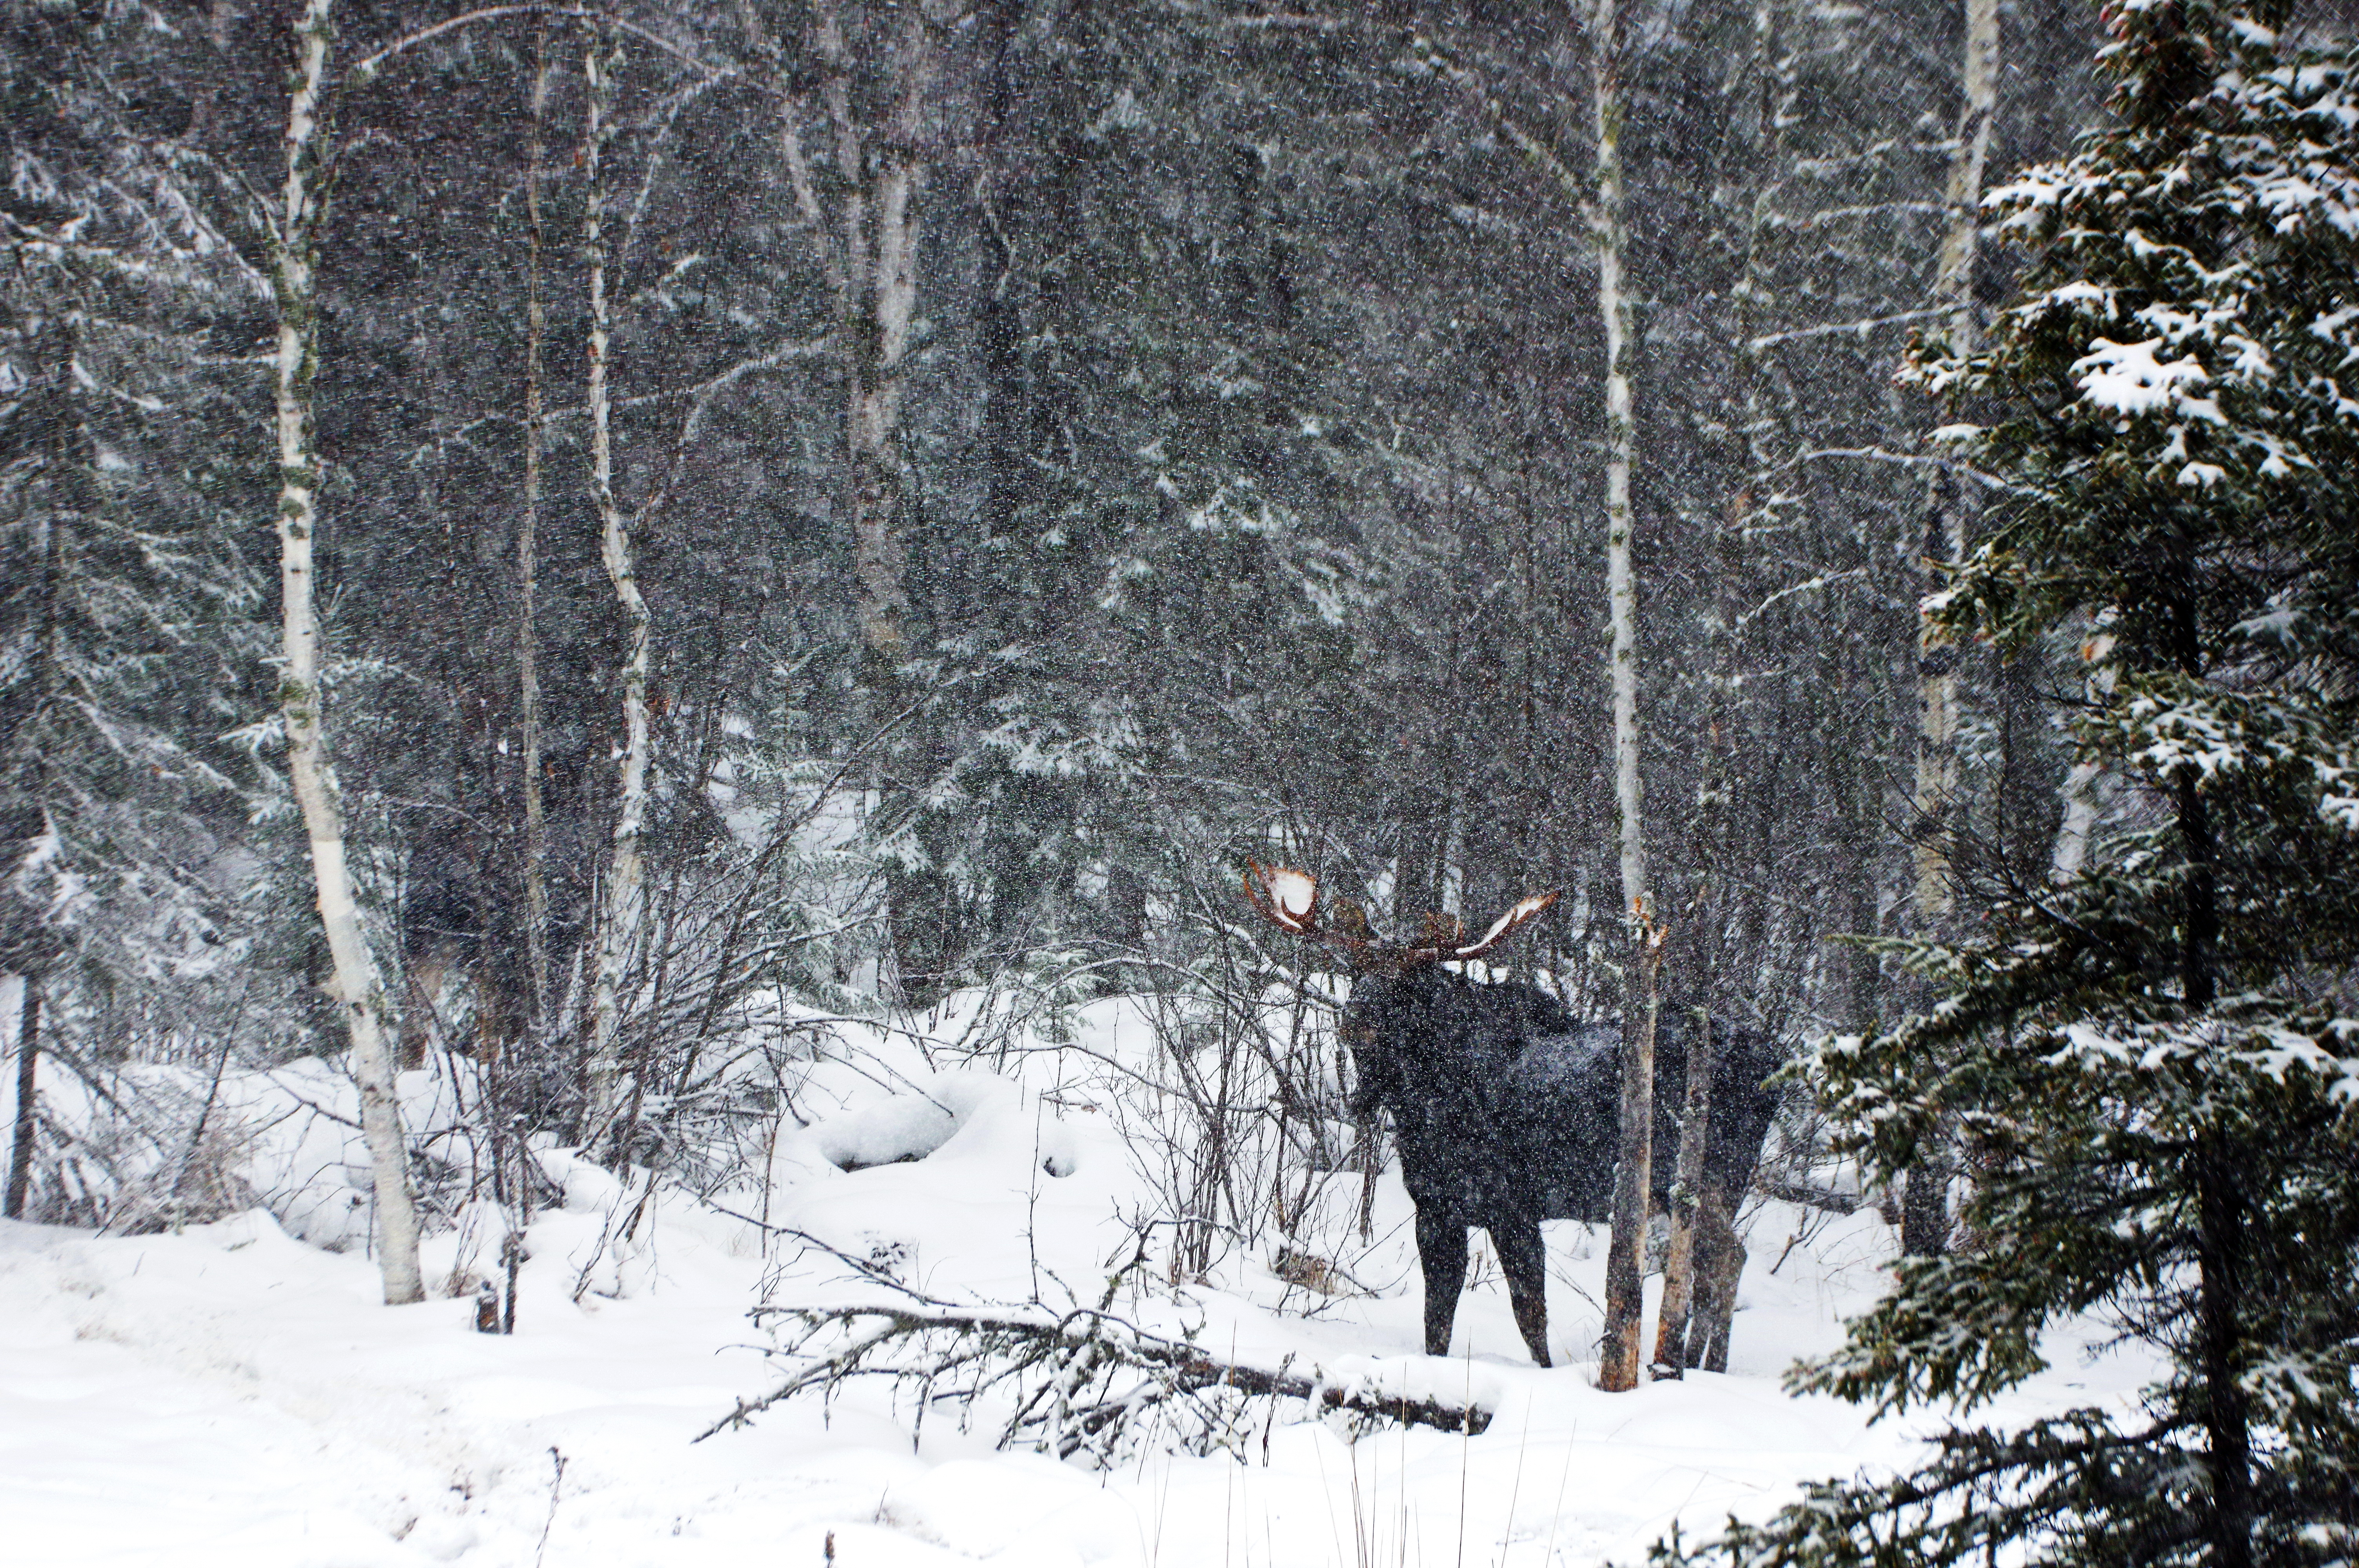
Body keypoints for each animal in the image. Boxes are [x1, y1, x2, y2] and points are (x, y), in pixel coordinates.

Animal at [1243, 862, 1785, 1372]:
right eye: (1357, 968)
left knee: (1726, 1260)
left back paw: (1701, 1365)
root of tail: (1774, 1062)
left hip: (1702, 1179)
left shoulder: (1511, 1206)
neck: (1423, 1102)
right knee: (1713, 1266)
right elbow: (1437, 1319)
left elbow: (1529, 1316)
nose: (1356, 1017)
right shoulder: (1437, 1208)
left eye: (1408, 982)